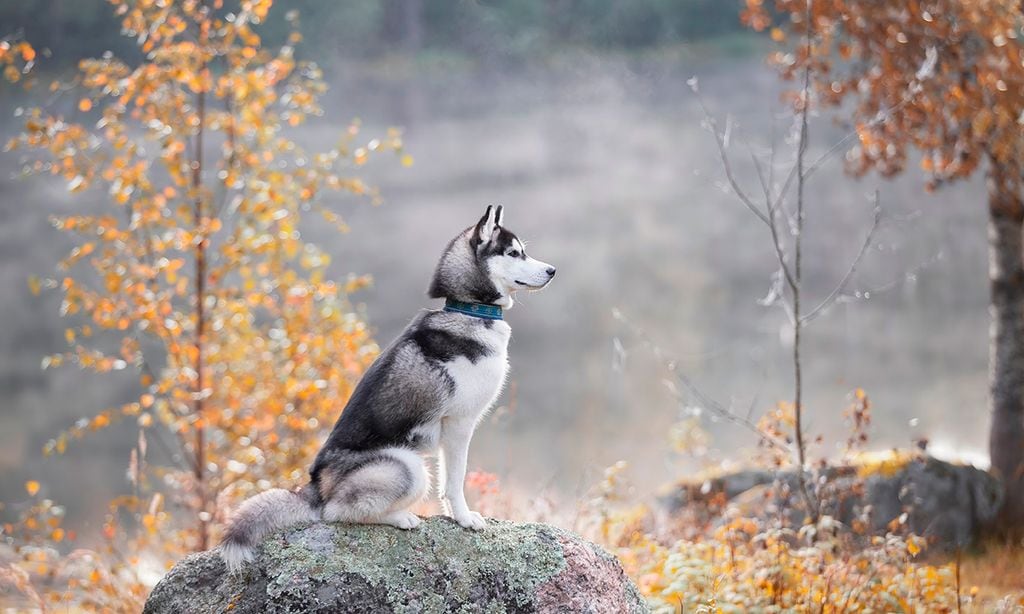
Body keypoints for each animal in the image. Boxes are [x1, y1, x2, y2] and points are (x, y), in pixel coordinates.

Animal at [220, 206, 557, 568]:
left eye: (523, 251)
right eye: (514, 253)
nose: (552, 270)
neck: (468, 310)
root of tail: (314, 488)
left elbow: (446, 483)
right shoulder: (459, 424)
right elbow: (456, 480)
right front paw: (465, 519)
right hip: (407, 466)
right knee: (336, 512)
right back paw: (400, 517)